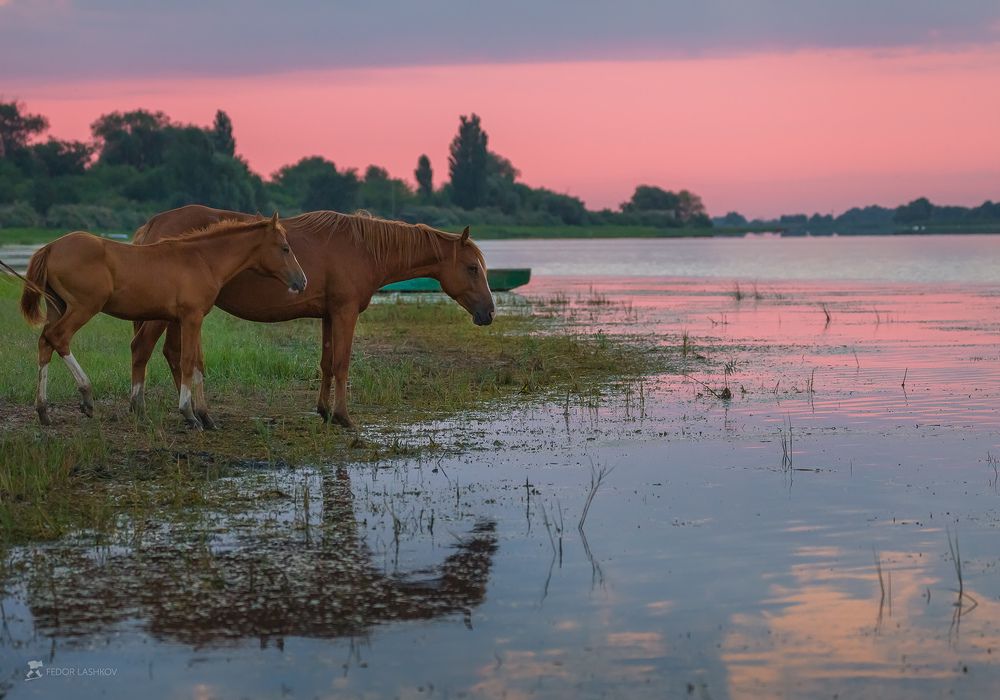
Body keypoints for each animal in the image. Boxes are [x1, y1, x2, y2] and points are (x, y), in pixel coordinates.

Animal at [13, 213, 306, 428]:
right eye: (285, 248)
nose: (301, 281)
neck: (203, 259)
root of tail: (50, 247)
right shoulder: (191, 317)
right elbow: (187, 360)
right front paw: (189, 413)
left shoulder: (193, 318)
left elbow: (198, 362)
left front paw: (205, 416)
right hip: (84, 306)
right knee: (59, 337)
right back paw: (86, 395)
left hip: (57, 305)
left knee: (45, 342)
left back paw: (43, 411)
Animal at [129, 205, 495, 429]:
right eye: (472, 268)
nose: (489, 312)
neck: (364, 248)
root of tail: (152, 225)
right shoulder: (345, 313)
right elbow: (342, 363)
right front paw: (344, 417)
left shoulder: (329, 315)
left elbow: (327, 363)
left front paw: (325, 412)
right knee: (145, 349)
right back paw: (160, 412)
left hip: (177, 316)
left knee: (174, 355)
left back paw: (197, 415)